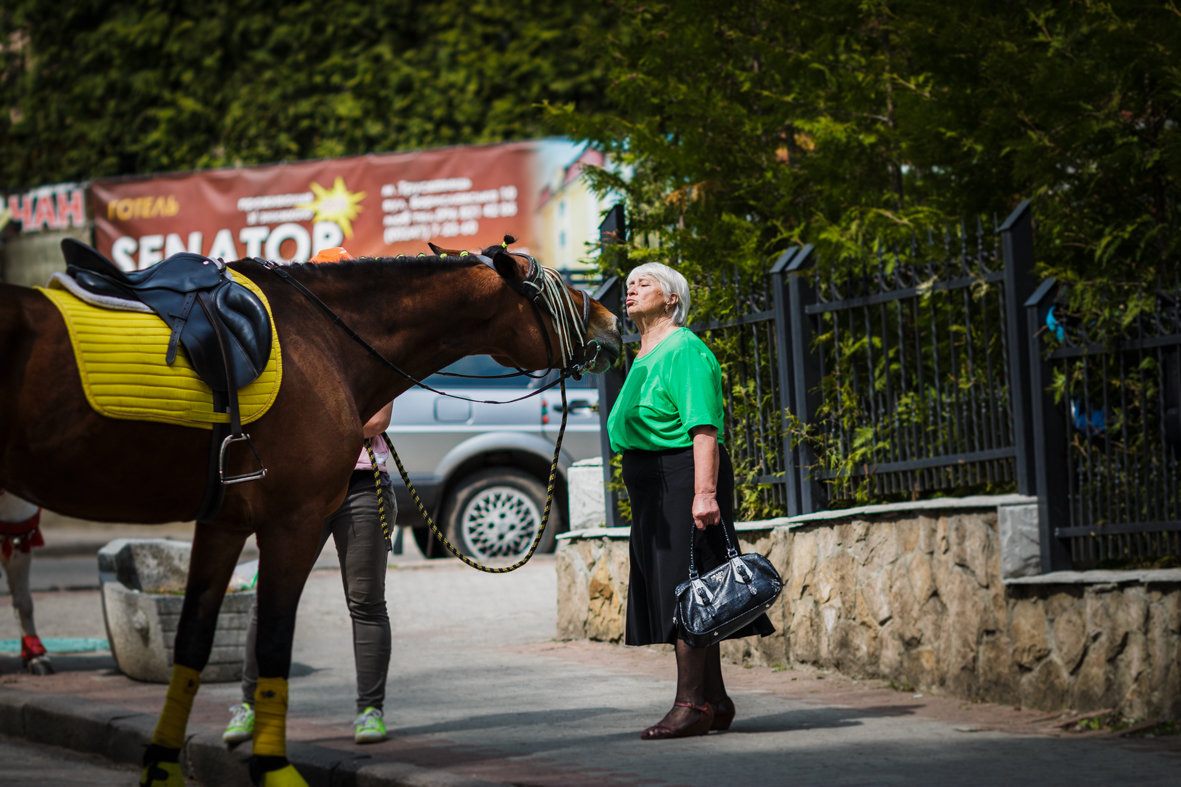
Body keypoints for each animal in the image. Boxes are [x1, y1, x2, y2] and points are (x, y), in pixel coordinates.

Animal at [0, 241, 623, 784]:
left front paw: (162, 764)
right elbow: (273, 641)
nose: (612, 321)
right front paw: (272, 766)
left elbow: (193, 642)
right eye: (552, 287)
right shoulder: (292, 522)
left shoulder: (223, 524)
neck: (324, 340)